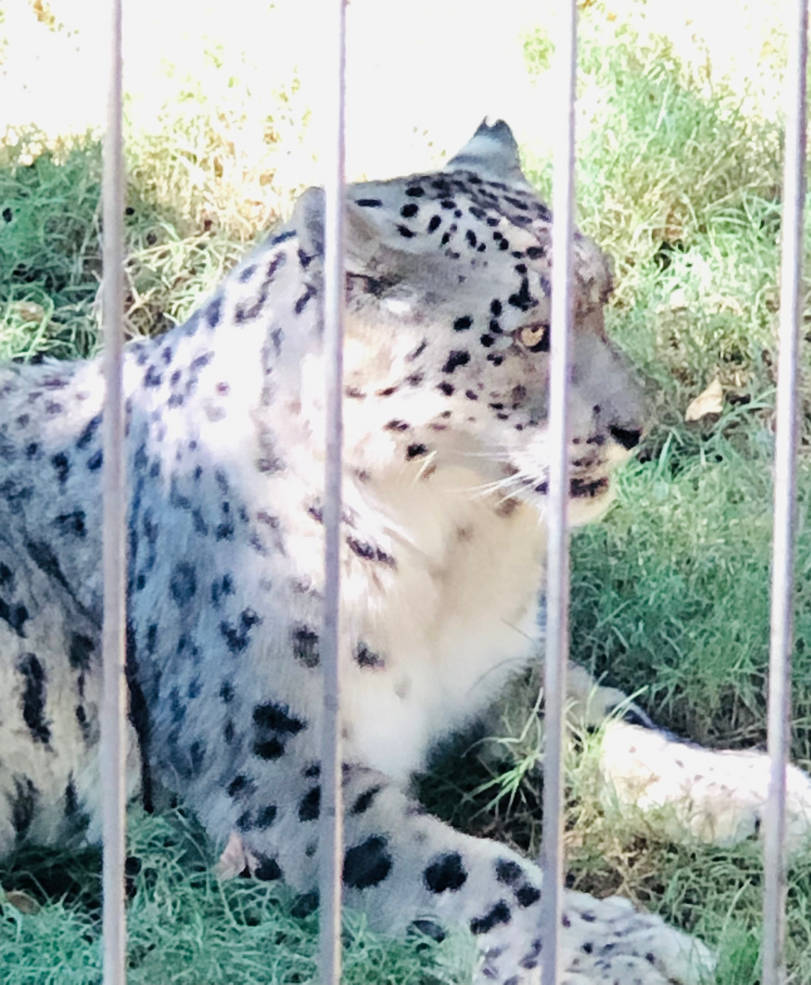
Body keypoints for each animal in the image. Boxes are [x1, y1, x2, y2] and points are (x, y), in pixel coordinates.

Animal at [1, 119, 810, 985]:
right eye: (531, 330)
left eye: (605, 295)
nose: (636, 425)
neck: (452, 560)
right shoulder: (279, 767)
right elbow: (469, 869)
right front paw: (631, 946)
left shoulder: (507, 661)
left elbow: (613, 725)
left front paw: (772, 792)